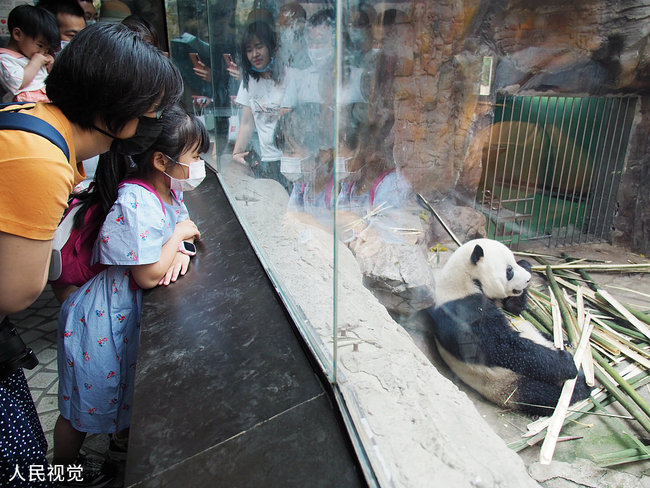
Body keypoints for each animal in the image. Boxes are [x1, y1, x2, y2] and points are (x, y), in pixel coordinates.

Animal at [428, 237, 588, 416]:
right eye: (509, 271)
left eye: (514, 263)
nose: (528, 279)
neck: (465, 279)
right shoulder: (463, 309)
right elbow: (502, 346)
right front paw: (566, 363)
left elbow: (513, 309)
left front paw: (526, 264)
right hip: (509, 384)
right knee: (540, 395)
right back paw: (581, 384)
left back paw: (565, 343)